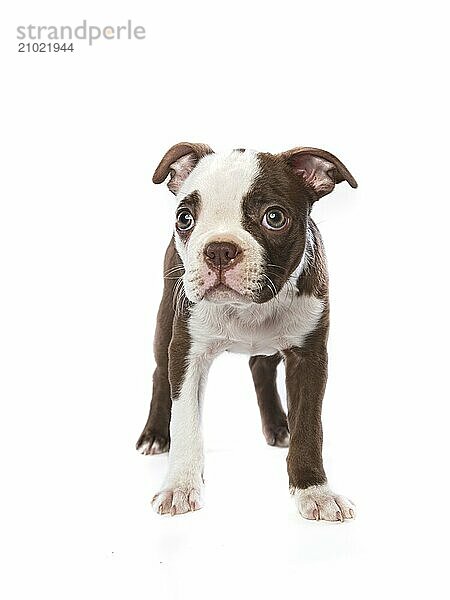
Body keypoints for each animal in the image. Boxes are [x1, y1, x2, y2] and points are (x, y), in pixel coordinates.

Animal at [137, 142, 358, 520]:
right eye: (185, 218)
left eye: (274, 217)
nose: (219, 249)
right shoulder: (187, 351)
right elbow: (186, 421)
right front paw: (180, 485)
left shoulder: (310, 357)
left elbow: (310, 427)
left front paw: (315, 491)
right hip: (166, 317)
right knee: (159, 372)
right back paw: (154, 434)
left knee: (260, 365)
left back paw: (280, 426)